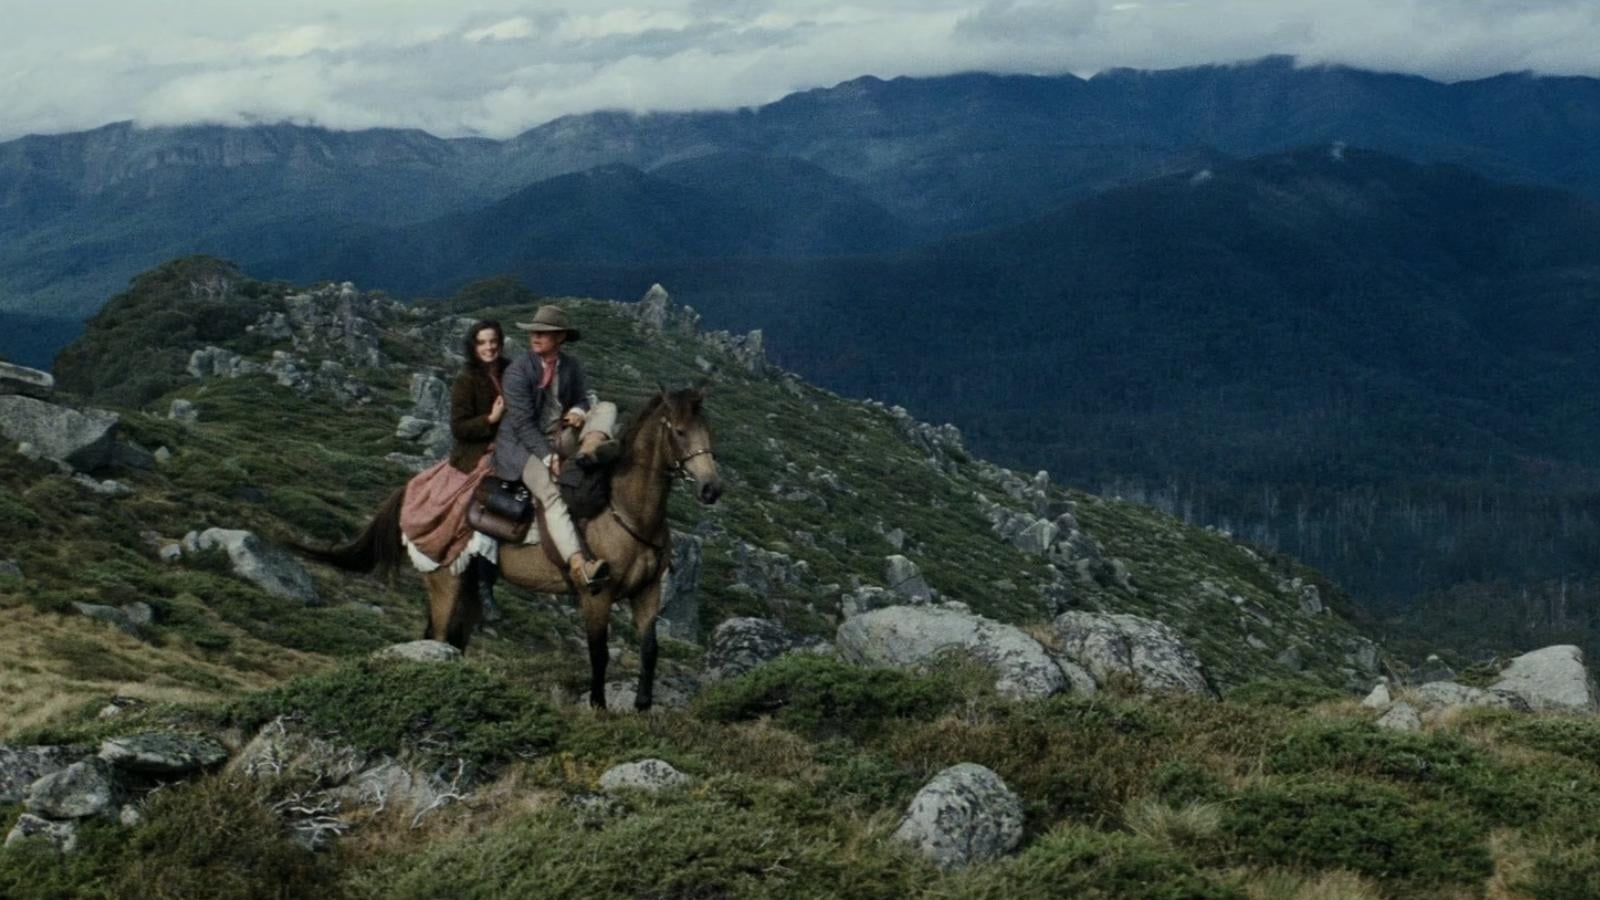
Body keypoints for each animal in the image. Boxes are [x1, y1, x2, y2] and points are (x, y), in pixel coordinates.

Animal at [300, 385, 726, 707]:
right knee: (437, 637)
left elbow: (650, 649)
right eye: (680, 431)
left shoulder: (647, 593)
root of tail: (413, 487)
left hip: (469, 588)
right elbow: (599, 652)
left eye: (709, 429)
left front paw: (642, 706)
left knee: (454, 638)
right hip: (444, 581)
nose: (711, 489)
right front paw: (599, 706)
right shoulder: (596, 596)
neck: (623, 509)